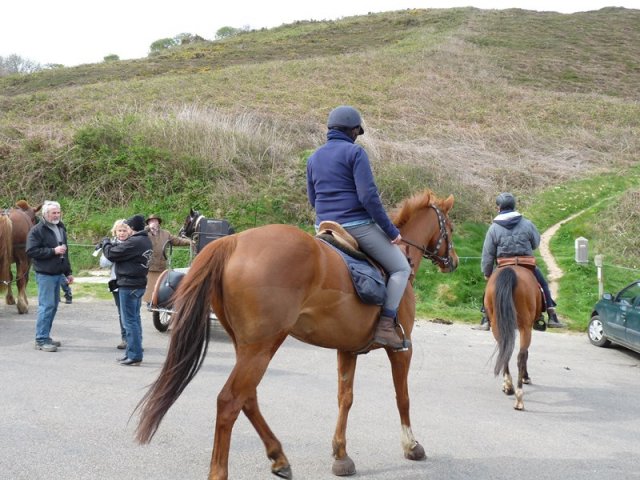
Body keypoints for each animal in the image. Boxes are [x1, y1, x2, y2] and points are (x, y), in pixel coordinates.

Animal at [135, 190, 458, 480]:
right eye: (451, 228)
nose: (453, 261)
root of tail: (234, 241)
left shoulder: (347, 349)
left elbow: (345, 398)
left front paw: (341, 455)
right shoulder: (402, 349)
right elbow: (403, 397)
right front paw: (411, 445)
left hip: (249, 347)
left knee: (247, 398)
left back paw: (279, 457)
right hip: (264, 346)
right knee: (229, 401)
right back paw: (223, 471)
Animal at [484, 263, 543, 411]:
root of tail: (510, 270)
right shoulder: (527, 328)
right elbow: (525, 354)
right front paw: (525, 377)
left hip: (497, 325)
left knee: (504, 350)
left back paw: (508, 386)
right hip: (525, 327)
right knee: (520, 356)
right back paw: (519, 397)